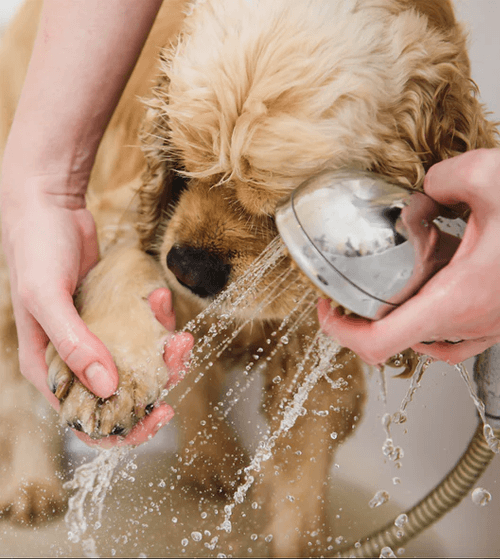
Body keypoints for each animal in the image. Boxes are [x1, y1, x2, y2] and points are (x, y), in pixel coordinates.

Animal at [0, 1, 496, 556]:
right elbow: (122, 266)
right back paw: (32, 485)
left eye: (280, 206)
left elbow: (301, 474)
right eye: (183, 161)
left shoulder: (321, 346)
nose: (188, 268)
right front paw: (109, 384)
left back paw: (211, 462)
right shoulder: (125, 208)